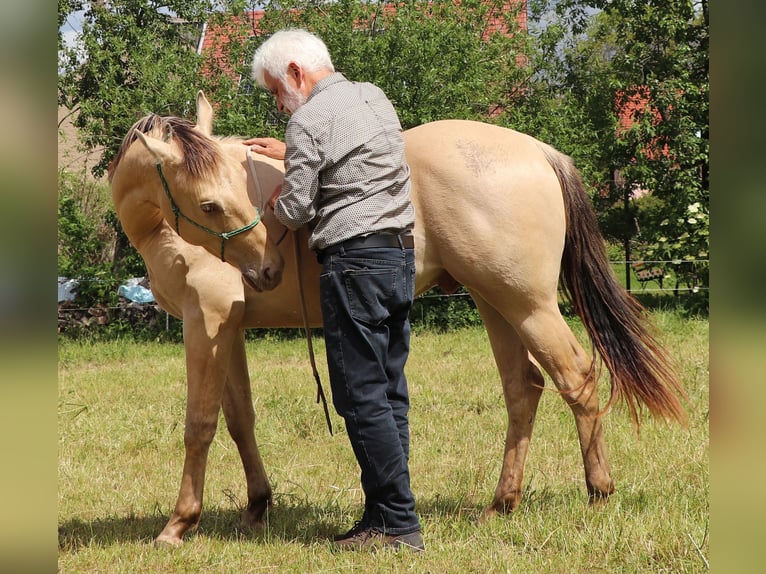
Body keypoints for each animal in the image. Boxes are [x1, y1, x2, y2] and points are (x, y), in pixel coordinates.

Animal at [109, 91, 688, 548]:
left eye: (224, 196)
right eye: (209, 204)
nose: (268, 270)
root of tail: (538, 152)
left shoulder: (205, 323)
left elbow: (200, 425)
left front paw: (178, 525)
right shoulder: (227, 331)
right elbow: (239, 420)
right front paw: (256, 507)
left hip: (529, 305)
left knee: (578, 378)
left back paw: (598, 493)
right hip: (494, 301)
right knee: (523, 388)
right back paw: (501, 504)